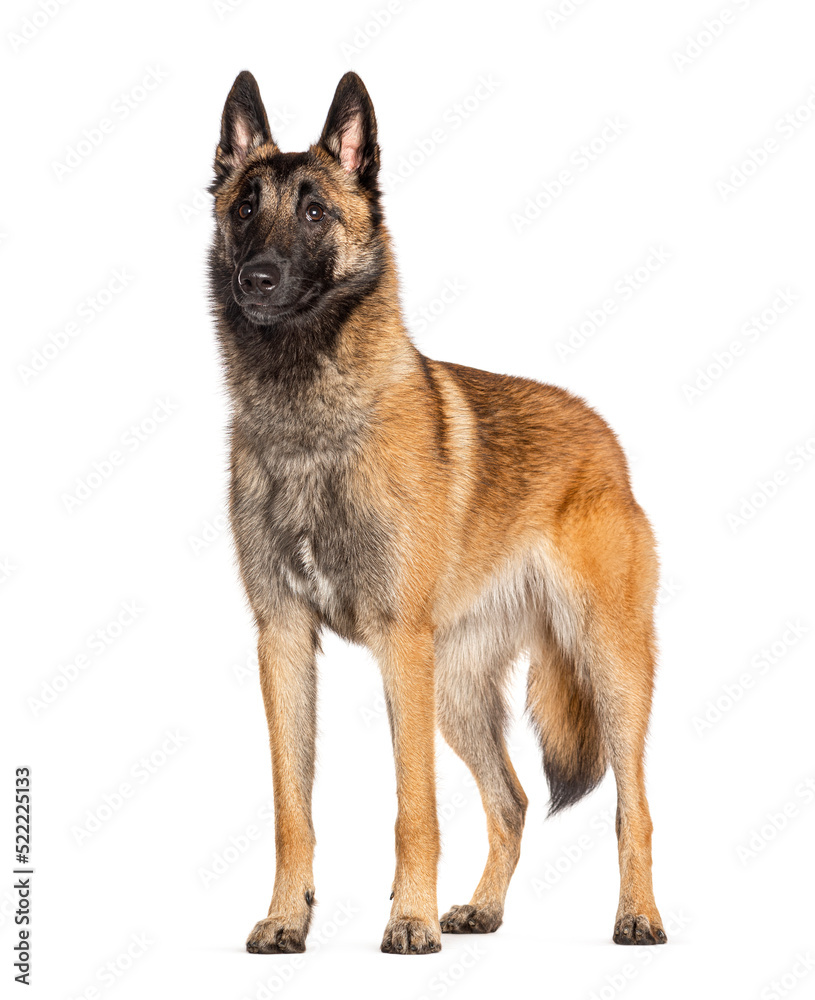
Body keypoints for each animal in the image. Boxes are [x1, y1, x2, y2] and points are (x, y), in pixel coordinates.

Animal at [207, 68, 668, 952]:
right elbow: (291, 808)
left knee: (634, 805)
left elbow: (412, 808)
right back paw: (481, 910)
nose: (257, 280)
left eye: (315, 211)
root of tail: (603, 435)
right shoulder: (281, 640)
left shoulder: (399, 646)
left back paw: (638, 915)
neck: (311, 421)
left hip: (606, 666)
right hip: (456, 694)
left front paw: (409, 920)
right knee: (512, 801)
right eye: (245, 206)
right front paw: (287, 918)